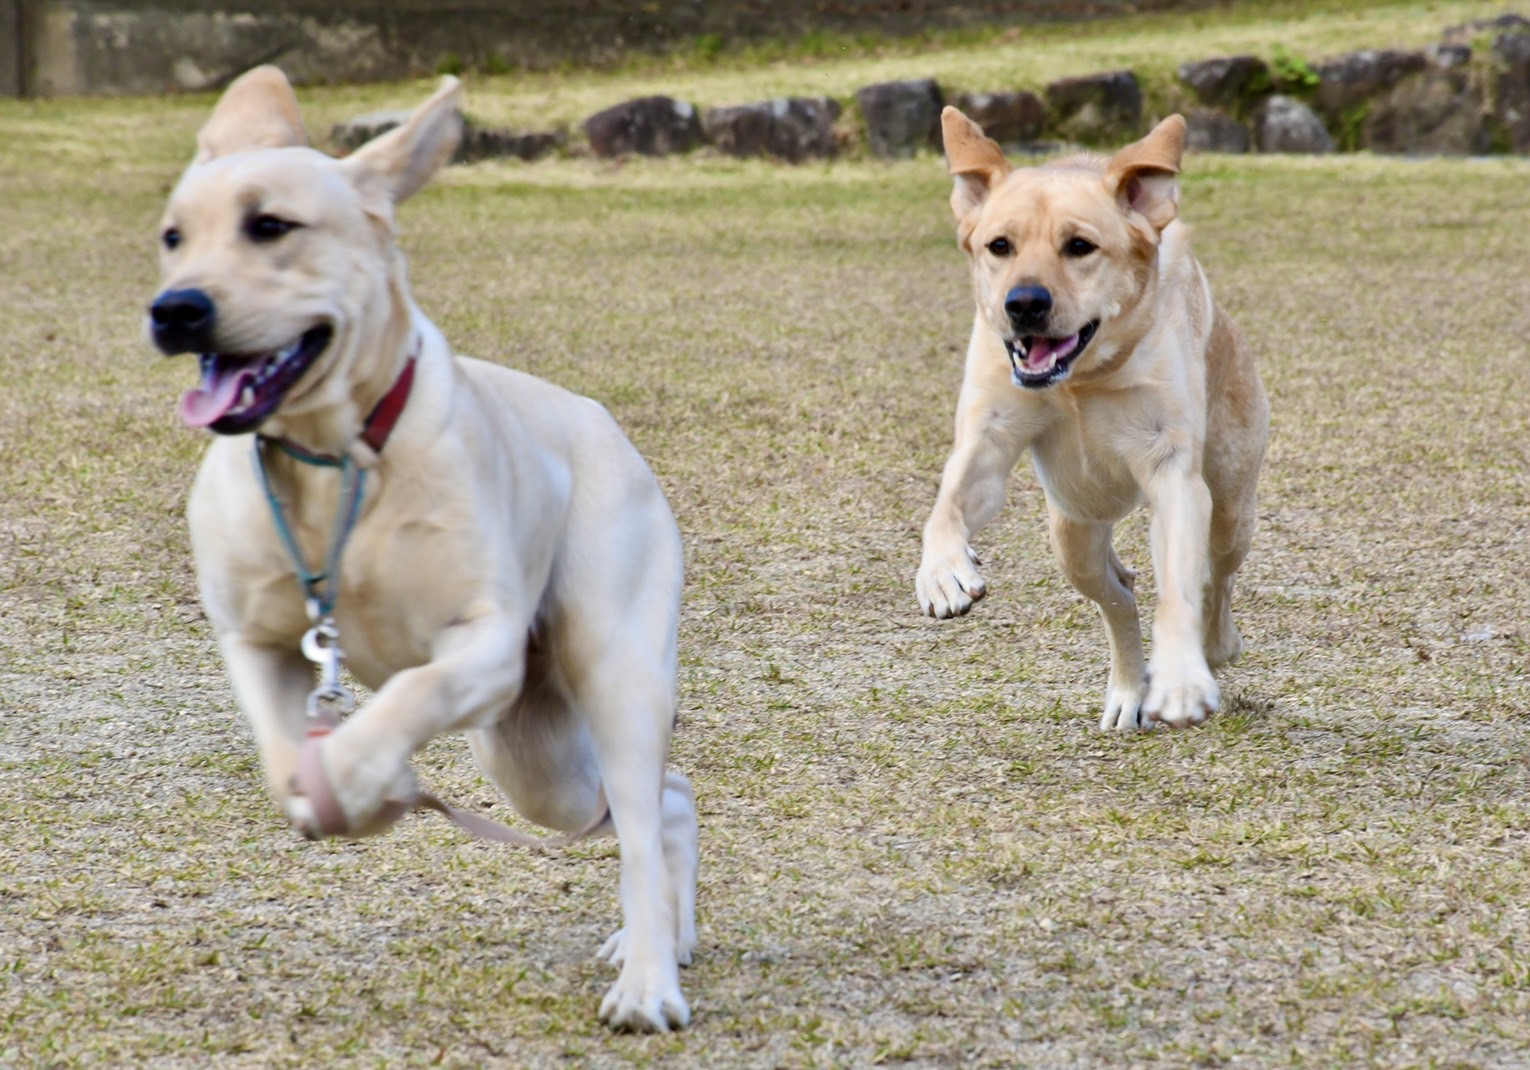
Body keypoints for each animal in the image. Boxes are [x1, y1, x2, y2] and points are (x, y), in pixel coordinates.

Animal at [146, 65, 697, 1028]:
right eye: (174, 237)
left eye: (270, 226)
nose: (176, 310)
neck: (333, 462)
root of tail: (604, 424)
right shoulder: (253, 640)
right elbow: (282, 748)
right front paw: (333, 790)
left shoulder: (484, 646)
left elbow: (407, 695)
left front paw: (359, 776)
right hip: (533, 759)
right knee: (663, 806)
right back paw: (661, 940)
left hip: (612, 678)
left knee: (643, 815)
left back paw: (648, 978)